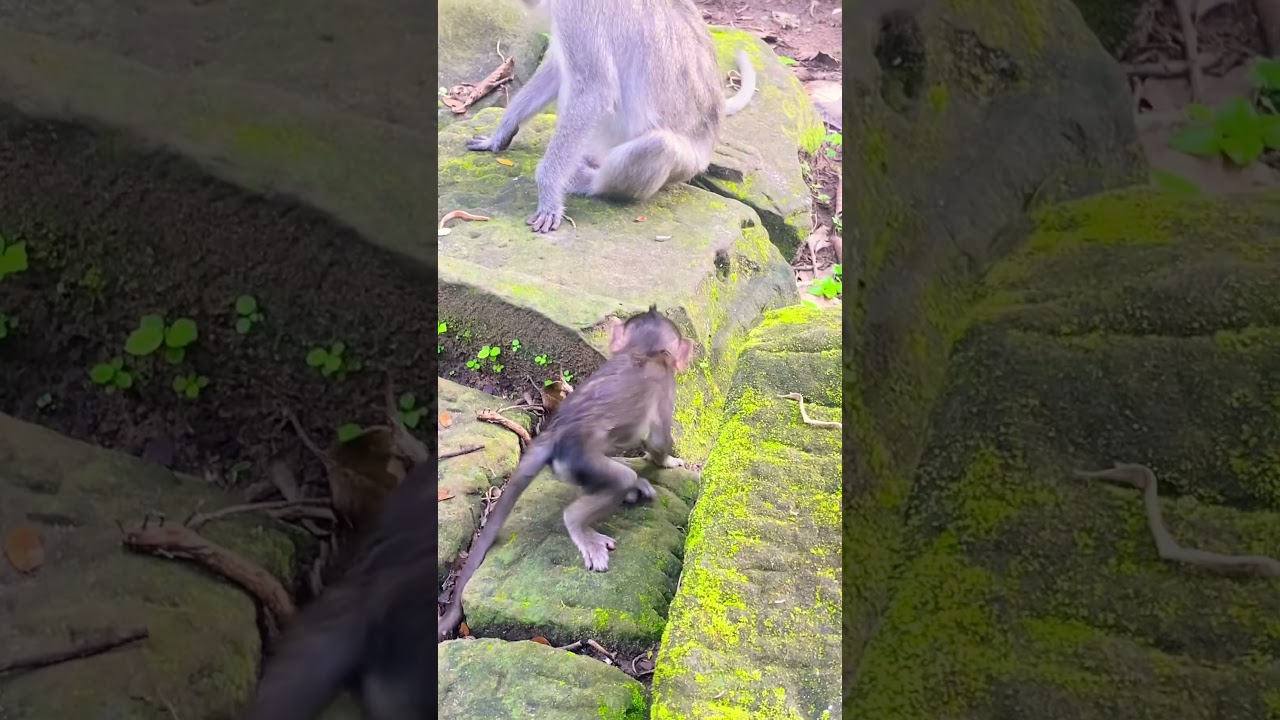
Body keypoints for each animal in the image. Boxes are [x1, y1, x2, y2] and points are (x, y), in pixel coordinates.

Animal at [438, 304, 693, 640]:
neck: (643, 350)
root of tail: (554, 435)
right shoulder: (666, 385)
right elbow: (659, 440)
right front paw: (669, 461)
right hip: (581, 461)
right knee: (608, 486)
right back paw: (588, 523)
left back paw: (631, 489)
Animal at [465, 0, 758, 233]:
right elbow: (559, 71)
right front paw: (501, 131)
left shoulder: (578, 10)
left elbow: (594, 92)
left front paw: (549, 192)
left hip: (686, 165)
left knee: (658, 146)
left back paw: (585, 181)